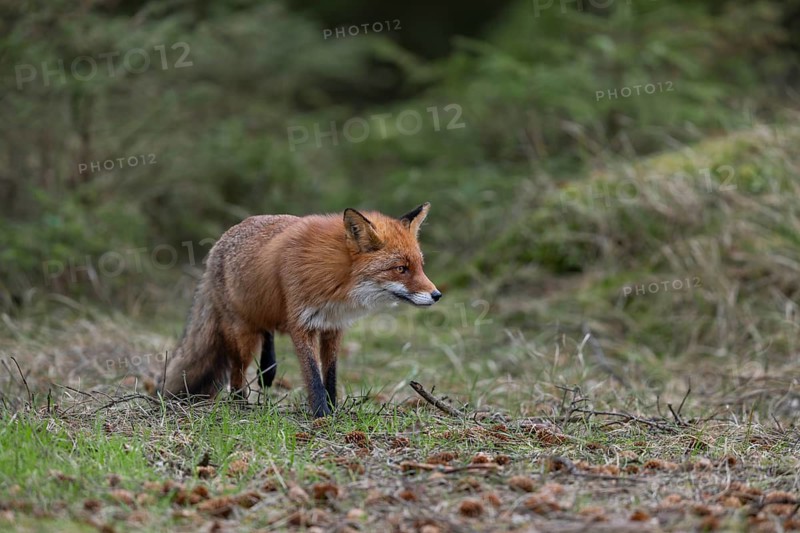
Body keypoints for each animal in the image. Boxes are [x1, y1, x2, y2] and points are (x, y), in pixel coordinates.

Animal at [159, 203, 441, 417]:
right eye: (401, 268)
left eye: (420, 266)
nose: (437, 295)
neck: (336, 280)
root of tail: (217, 246)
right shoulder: (302, 324)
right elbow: (313, 375)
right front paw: (321, 415)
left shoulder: (333, 327)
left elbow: (330, 375)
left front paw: (333, 409)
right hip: (241, 335)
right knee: (237, 373)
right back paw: (240, 406)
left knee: (267, 335)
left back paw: (267, 372)